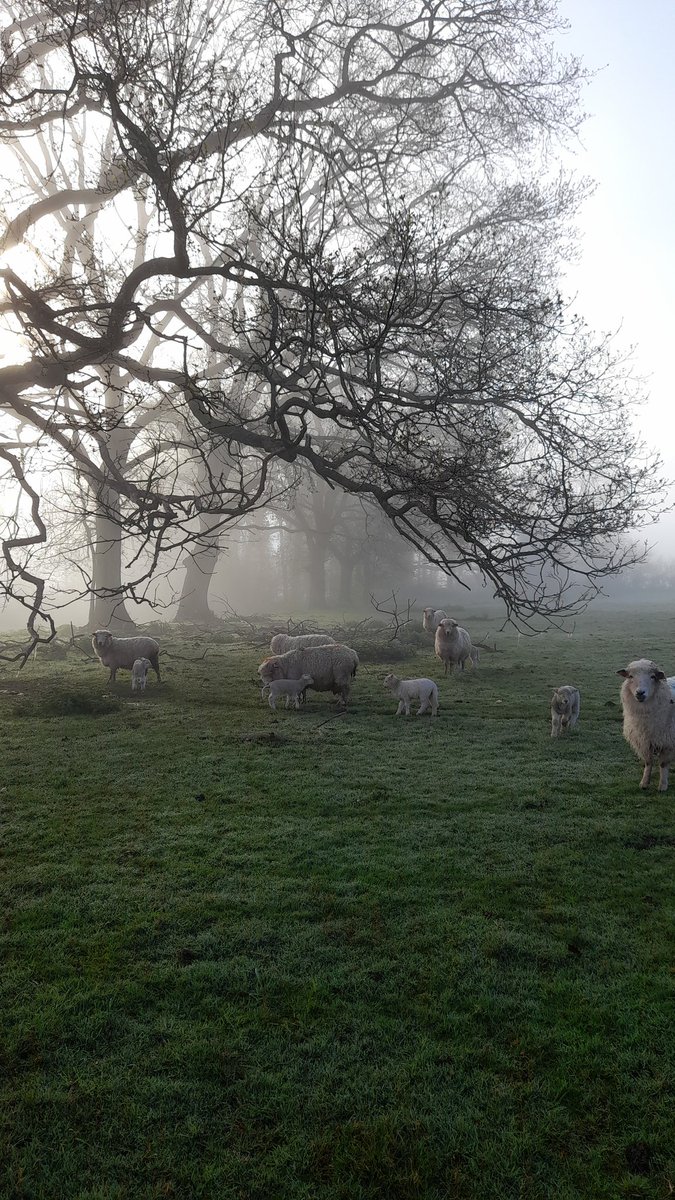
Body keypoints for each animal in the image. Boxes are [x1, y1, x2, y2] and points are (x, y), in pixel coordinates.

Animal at [619, 662, 675, 792]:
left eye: (653, 676)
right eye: (630, 676)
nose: (640, 693)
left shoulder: (667, 741)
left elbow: (663, 764)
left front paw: (662, 786)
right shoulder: (643, 741)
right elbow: (648, 763)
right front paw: (644, 783)